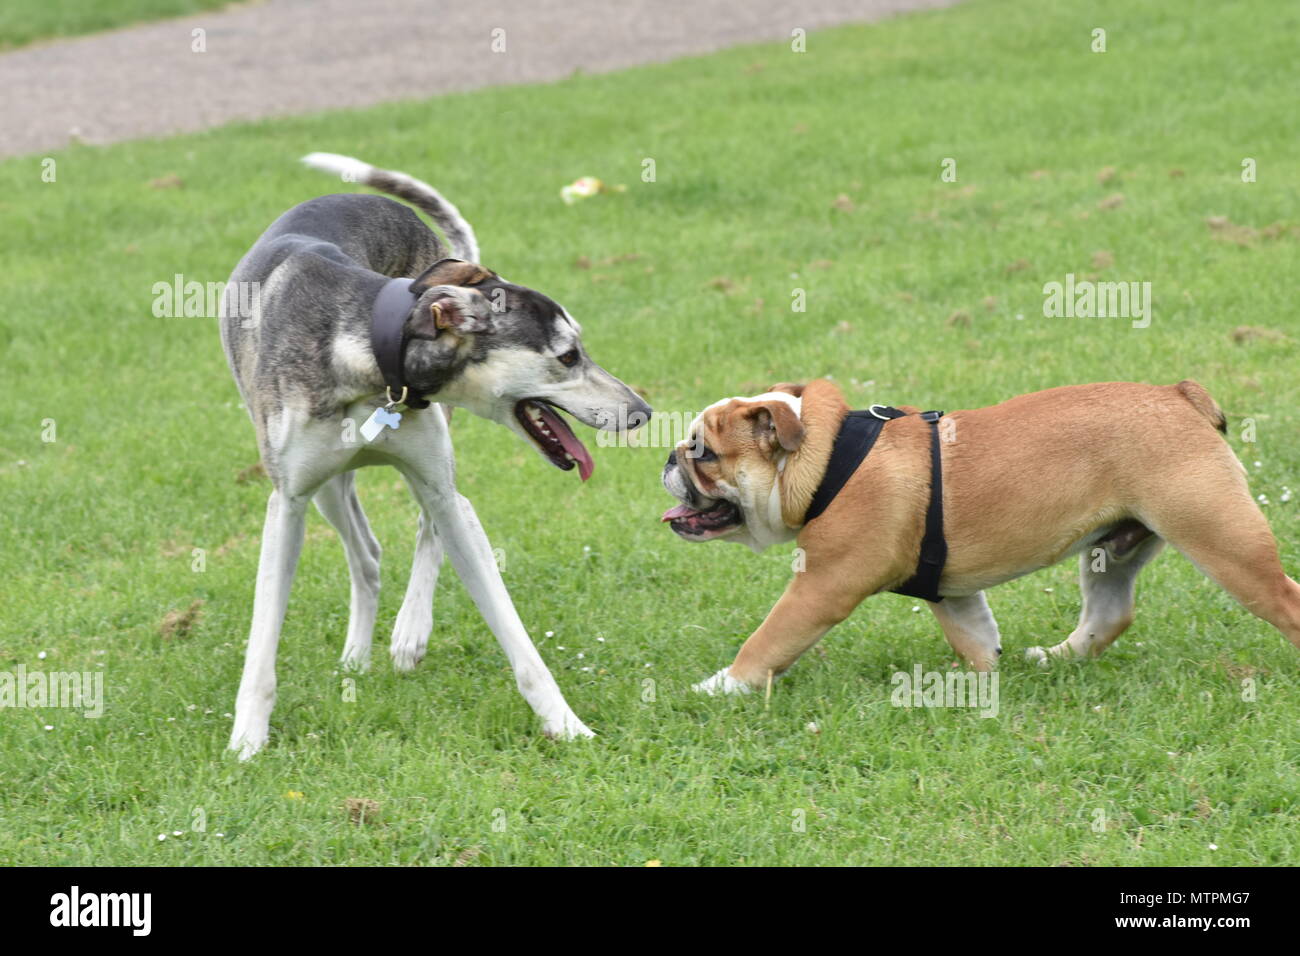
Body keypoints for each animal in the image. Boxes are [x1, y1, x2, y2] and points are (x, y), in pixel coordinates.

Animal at [223, 153, 655, 759]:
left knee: (431, 522)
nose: (642, 411)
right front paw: (246, 741)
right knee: (367, 553)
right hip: (327, 489)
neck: (369, 351)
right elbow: (262, 644)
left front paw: (567, 725)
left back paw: (409, 630)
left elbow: (517, 639)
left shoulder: (441, 487)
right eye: (569, 356)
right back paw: (356, 656)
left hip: (433, 472)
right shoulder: (286, 505)